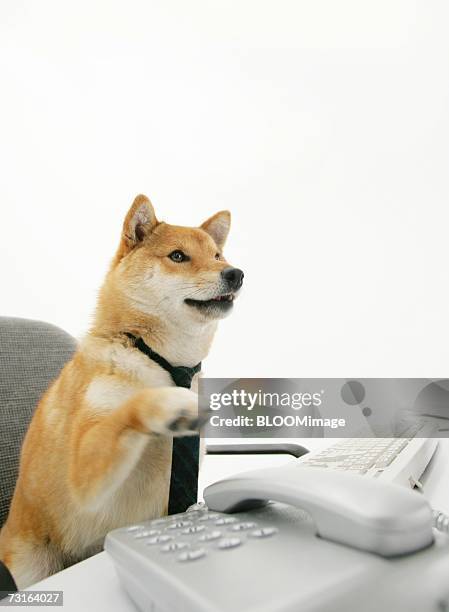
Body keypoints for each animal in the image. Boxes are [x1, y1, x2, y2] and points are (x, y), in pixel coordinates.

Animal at [0, 196, 242, 588]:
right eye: (178, 256)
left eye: (218, 255)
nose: (236, 273)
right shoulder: (83, 478)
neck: (163, 360)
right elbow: (129, 409)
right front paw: (170, 404)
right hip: (30, 565)